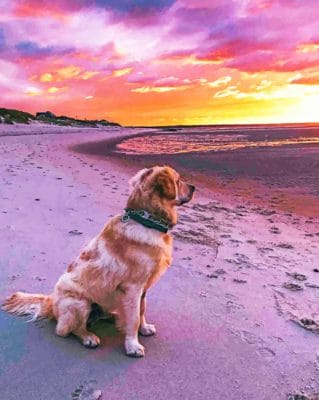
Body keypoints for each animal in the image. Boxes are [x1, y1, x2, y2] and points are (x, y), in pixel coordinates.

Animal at [2, 164, 195, 358]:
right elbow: (133, 317)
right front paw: (133, 345)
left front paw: (144, 328)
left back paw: (114, 317)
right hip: (80, 303)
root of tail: (50, 303)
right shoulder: (133, 287)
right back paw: (88, 337)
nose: (194, 187)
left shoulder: (143, 288)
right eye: (179, 180)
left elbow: (142, 310)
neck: (145, 220)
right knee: (65, 330)